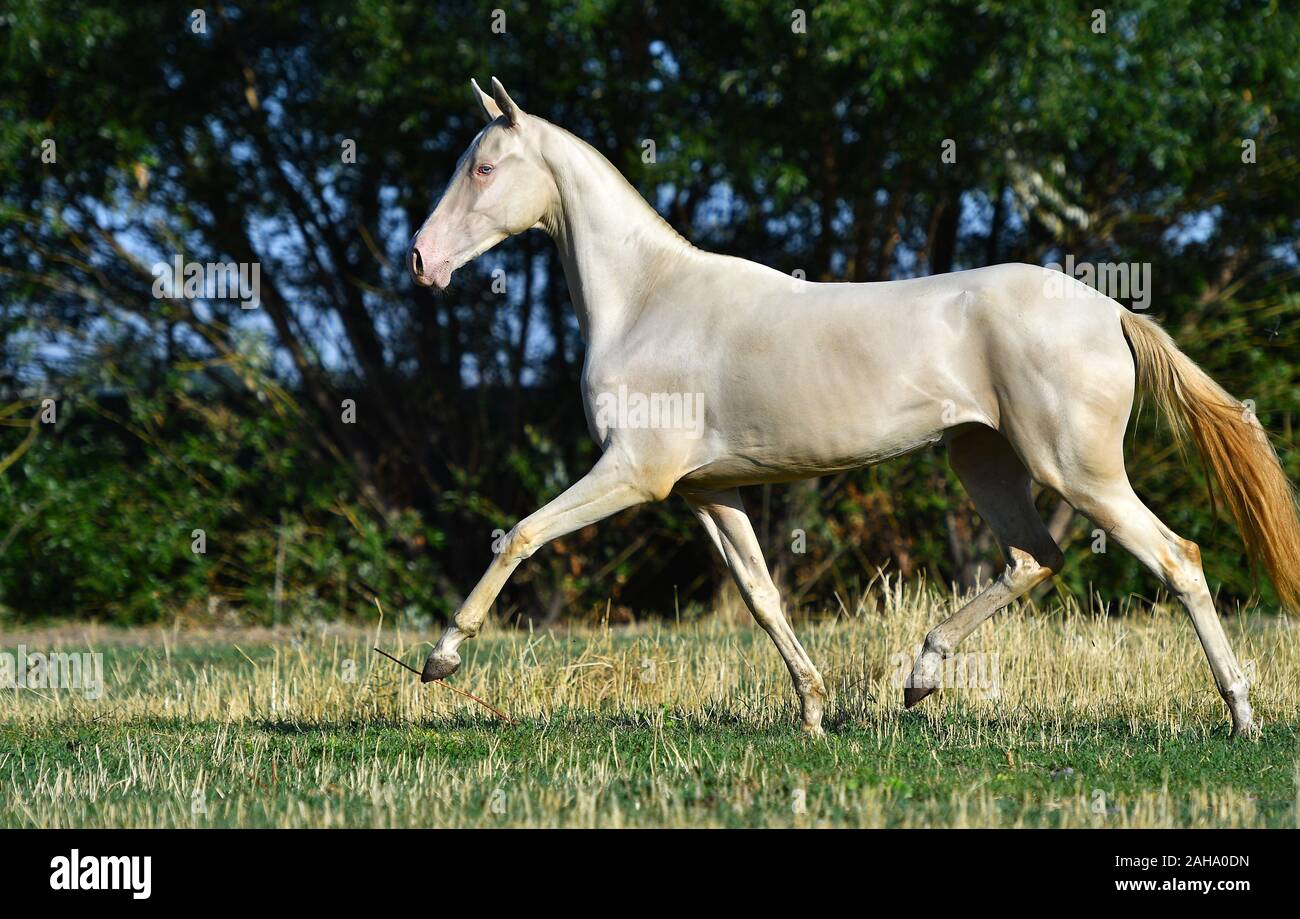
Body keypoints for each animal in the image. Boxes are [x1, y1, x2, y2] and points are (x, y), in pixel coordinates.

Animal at [408, 78, 1300, 738]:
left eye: (483, 169)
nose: (420, 260)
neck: (649, 301)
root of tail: (1109, 309)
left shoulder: (634, 473)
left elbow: (521, 533)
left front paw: (441, 657)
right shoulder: (708, 492)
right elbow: (762, 595)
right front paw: (812, 709)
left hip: (1077, 471)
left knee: (1178, 558)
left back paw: (1241, 716)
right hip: (984, 459)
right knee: (1032, 558)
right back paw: (920, 677)